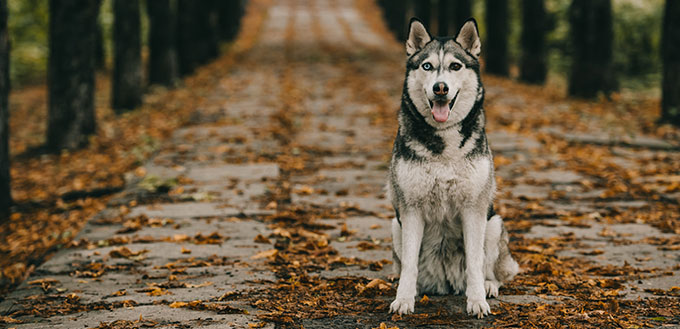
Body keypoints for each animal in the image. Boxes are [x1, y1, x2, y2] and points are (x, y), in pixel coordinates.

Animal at [386, 18, 516, 318]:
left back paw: (489, 285)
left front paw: (477, 300)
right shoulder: (410, 210)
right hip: (395, 226)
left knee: (491, 269)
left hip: (494, 224)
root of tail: (445, 281)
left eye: (455, 66)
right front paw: (404, 299)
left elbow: (475, 261)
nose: (440, 88)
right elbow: (409, 264)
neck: (444, 143)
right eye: (427, 66)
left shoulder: (474, 209)